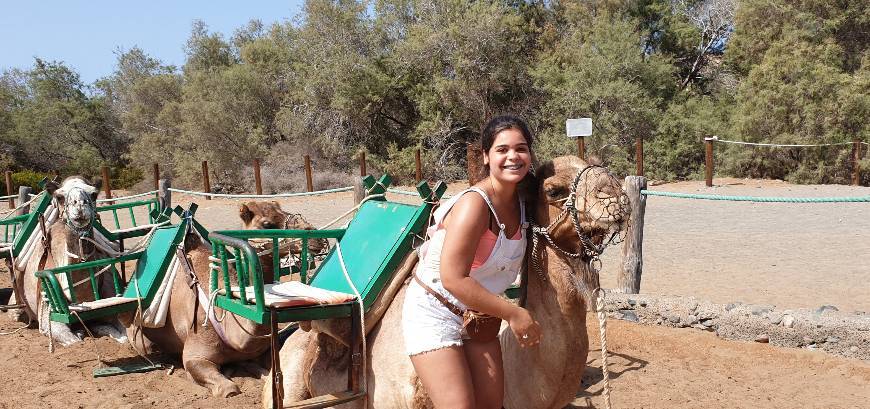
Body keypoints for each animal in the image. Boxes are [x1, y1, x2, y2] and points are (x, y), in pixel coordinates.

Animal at [12, 175, 127, 344]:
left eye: (93, 194)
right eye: (60, 197)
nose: (79, 205)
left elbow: (124, 335)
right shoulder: (48, 313)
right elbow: (74, 340)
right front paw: (80, 333)